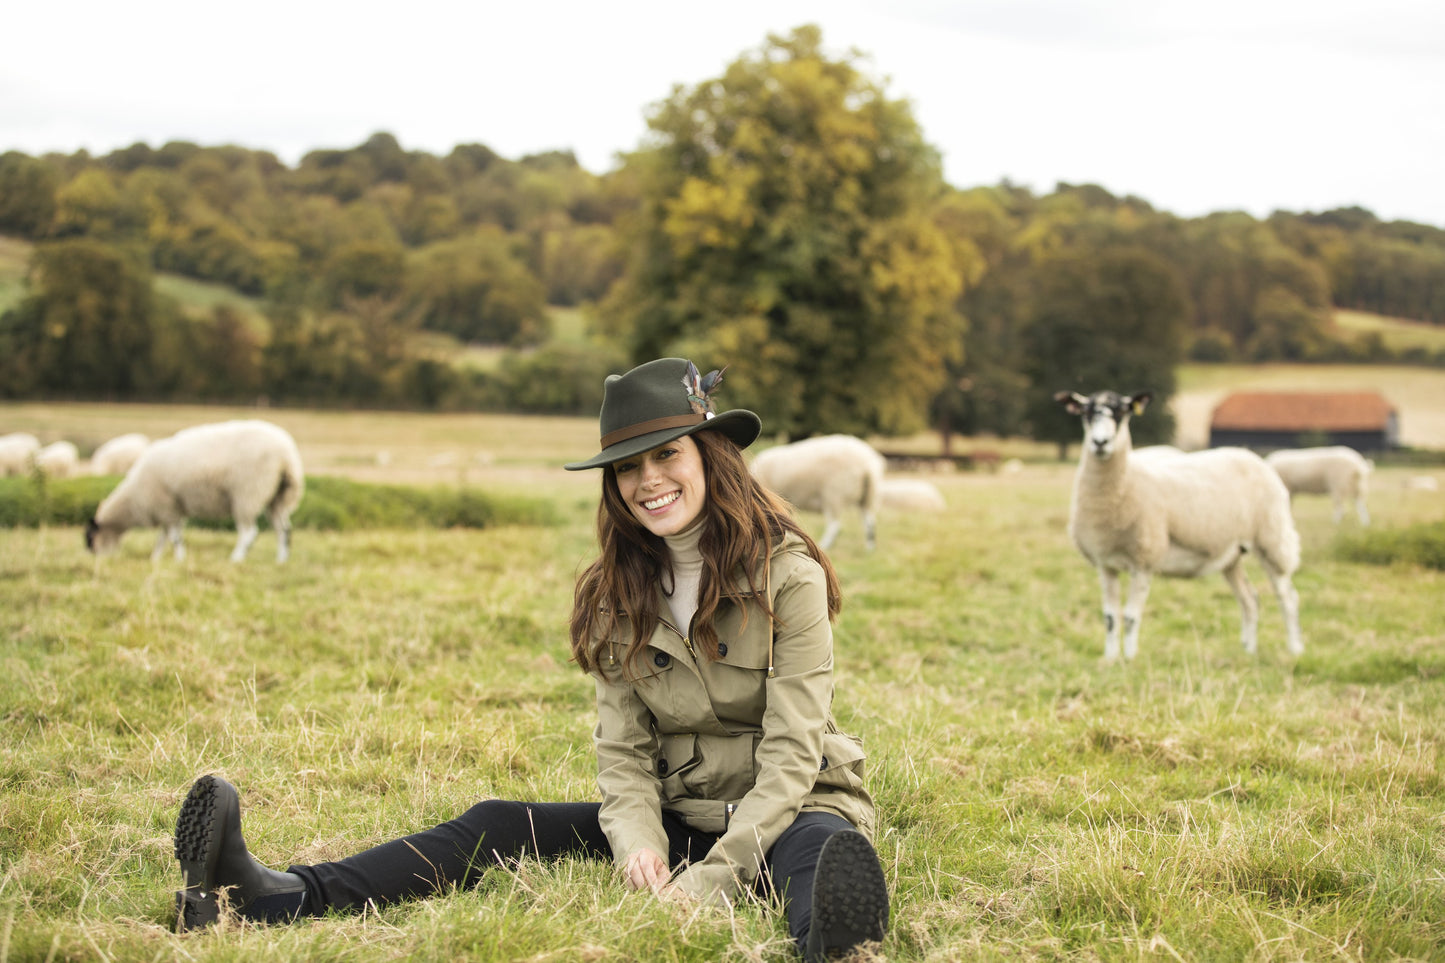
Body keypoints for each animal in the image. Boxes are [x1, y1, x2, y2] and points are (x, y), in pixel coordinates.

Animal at [85, 419, 306, 563]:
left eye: (90, 539)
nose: (93, 558)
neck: (133, 498)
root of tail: (287, 455)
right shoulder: (170, 509)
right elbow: (163, 537)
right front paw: (155, 559)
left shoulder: (166, 505)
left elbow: (174, 537)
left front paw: (178, 560)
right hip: (277, 497)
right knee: (284, 530)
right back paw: (281, 559)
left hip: (248, 492)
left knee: (249, 532)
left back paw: (236, 558)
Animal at [751, 433, 884, 546]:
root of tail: (867, 465)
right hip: (867, 496)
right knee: (869, 522)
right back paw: (870, 547)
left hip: (835, 494)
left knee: (835, 525)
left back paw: (825, 544)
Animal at [1057, 390, 1306, 659]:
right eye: (1086, 412)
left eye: (1122, 412)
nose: (1100, 443)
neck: (1126, 480)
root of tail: (1252, 456)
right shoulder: (1106, 564)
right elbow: (1110, 617)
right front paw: (1111, 659)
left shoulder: (1145, 561)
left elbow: (1131, 616)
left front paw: (1130, 658)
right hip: (1232, 555)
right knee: (1250, 599)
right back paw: (1248, 651)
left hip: (1272, 540)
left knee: (1288, 597)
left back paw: (1295, 648)